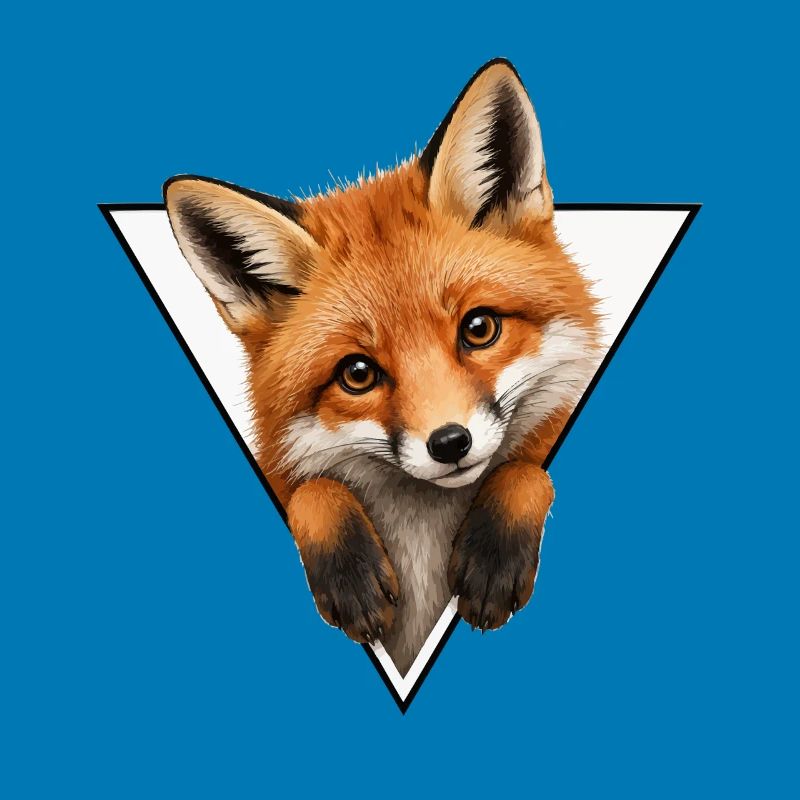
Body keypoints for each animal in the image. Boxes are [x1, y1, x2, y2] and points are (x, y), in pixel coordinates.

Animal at [163, 58, 602, 675]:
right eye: (358, 373)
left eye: (479, 328)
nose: (450, 443)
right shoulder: (283, 471)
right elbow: (310, 492)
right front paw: (349, 572)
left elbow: (528, 470)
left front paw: (494, 551)